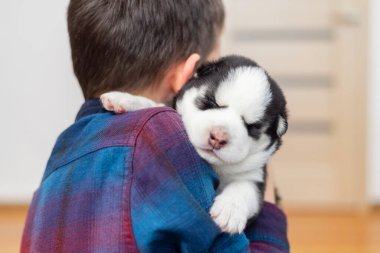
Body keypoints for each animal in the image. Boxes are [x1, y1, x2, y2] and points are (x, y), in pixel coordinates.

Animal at [99, 55, 286, 233]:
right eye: (209, 102)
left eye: (251, 126)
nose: (217, 137)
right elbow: (157, 104)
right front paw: (126, 99)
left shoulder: (257, 176)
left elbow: (244, 187)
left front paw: (230, 209)